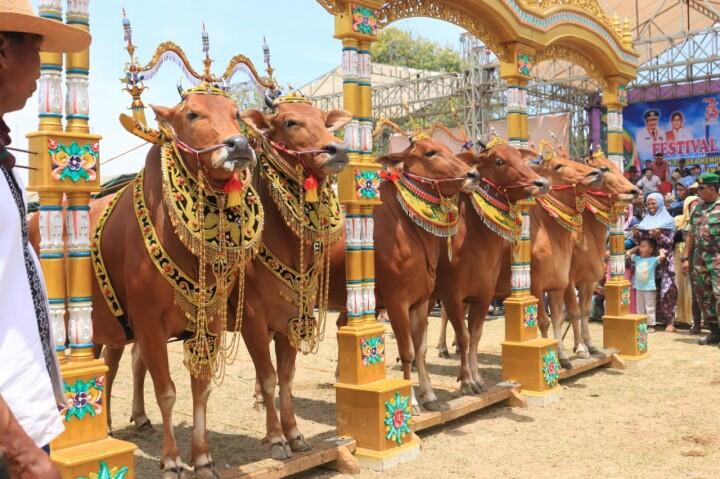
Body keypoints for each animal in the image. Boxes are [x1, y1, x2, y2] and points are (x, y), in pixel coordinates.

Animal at [436, 143, 548, 394]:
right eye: (499, 161)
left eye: (520, 157)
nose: (542, 183)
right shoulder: (452, 294)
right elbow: (465, 336)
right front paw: (467, 382)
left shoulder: (483, 296)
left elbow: (475, 335)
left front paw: (476, 379)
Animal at [564, 152, 640, 358]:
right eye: (603, 169)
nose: (635, 191)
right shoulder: (569, 281)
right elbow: (574, 311)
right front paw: (580, 348)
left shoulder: (589, 280)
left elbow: (583, 311)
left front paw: (589, 345)